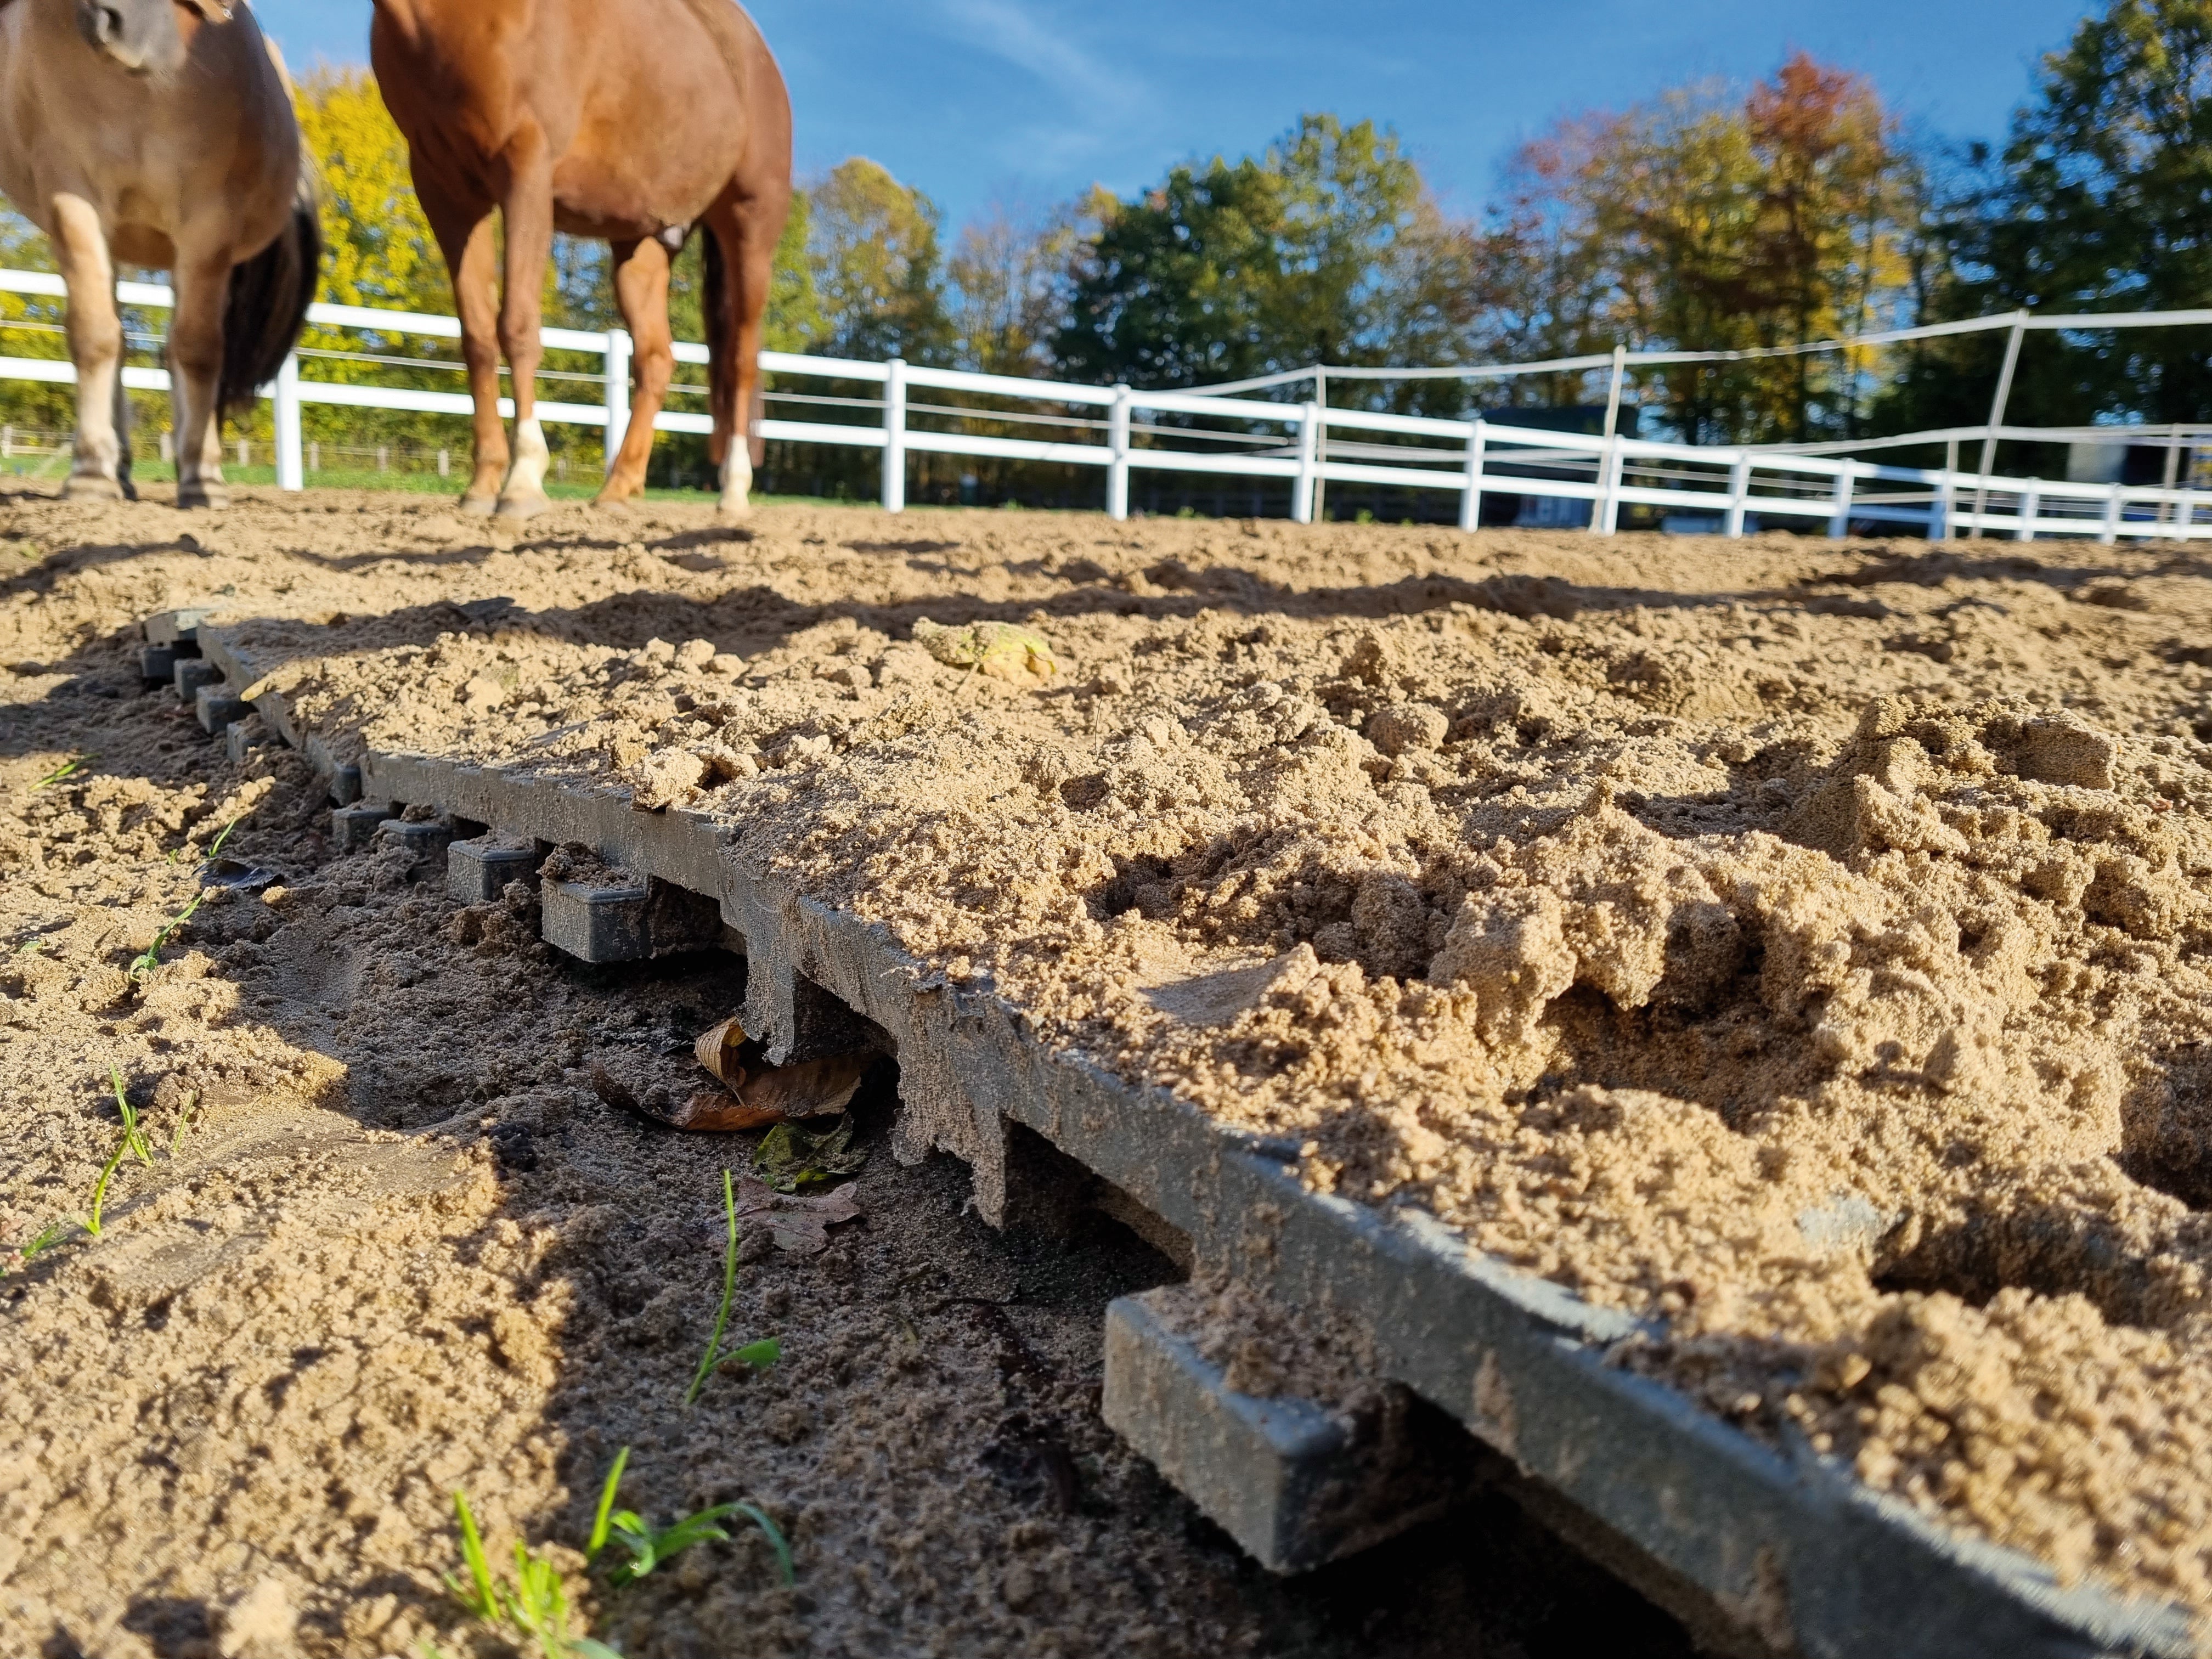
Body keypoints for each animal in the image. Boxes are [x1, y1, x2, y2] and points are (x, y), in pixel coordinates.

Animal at [0, 0, 320, 506]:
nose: (115, 21)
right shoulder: (74, 200)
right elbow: (95, 337)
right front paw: (90, 473)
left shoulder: (209, 221)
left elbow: (198, 350)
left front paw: (203, 477)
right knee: (118, 339)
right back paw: (120, 469)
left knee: (182, 348)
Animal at [371, 0, 796, 520]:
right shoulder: (444, 192)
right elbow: (477, 339)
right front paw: (483, 484)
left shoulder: (527, 170)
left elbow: (516, 327)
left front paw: (523, 480)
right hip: (643, 247)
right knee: (656, 360)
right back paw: (618, 489)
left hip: (749, 230)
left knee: (740, 361)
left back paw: (733, 492)